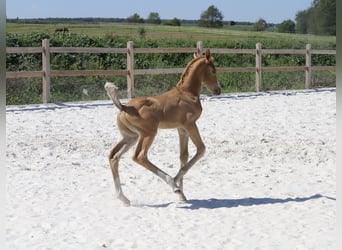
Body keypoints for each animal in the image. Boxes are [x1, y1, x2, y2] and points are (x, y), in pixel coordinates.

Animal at [105, 48, 220, 205]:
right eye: (213, 70)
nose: (218, 90)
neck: (187, 92)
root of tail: (124, 107)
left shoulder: (181, 128)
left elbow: (183, 156)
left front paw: (182, 195)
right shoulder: (190, 124)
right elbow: (201, 149)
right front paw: (177, 184)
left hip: (131, 137)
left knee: (113, 156)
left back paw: (124, 198)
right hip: (149, 133)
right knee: (139, 156)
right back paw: (172, 184)